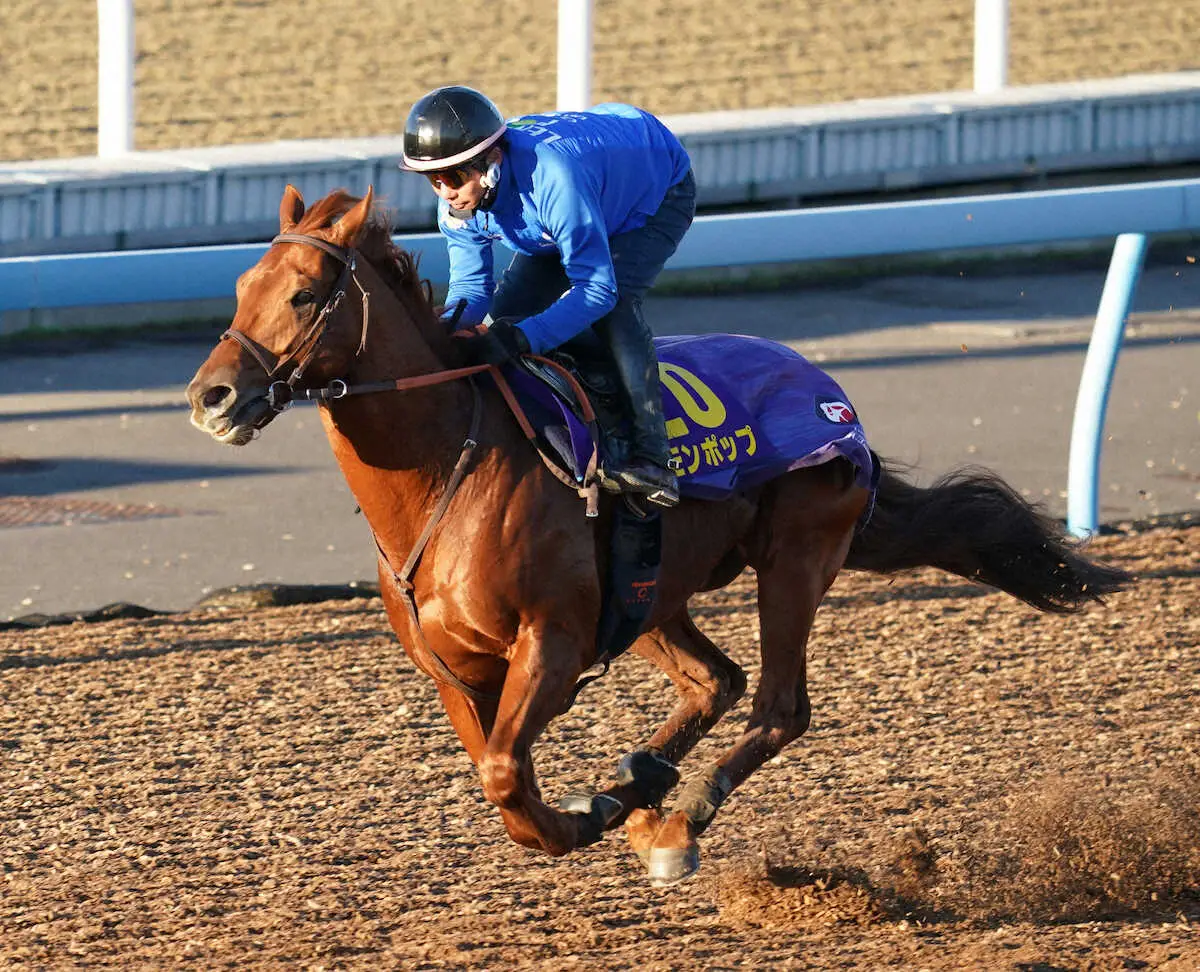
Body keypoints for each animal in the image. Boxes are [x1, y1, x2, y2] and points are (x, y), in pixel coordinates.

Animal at [184, 186, 1123, 883]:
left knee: (778, 704)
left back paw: (676, 823)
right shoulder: (453, 668)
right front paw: (601, 804)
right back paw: (642, 789)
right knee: (717, 681)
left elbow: (507, 777)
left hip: (794, 558)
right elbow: (499, 772)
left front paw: (585, 819)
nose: (211, 396)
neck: (446, 472)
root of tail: (834, 401)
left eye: (305, 294)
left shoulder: (553, 639)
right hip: (651, 595)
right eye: (238, 291)